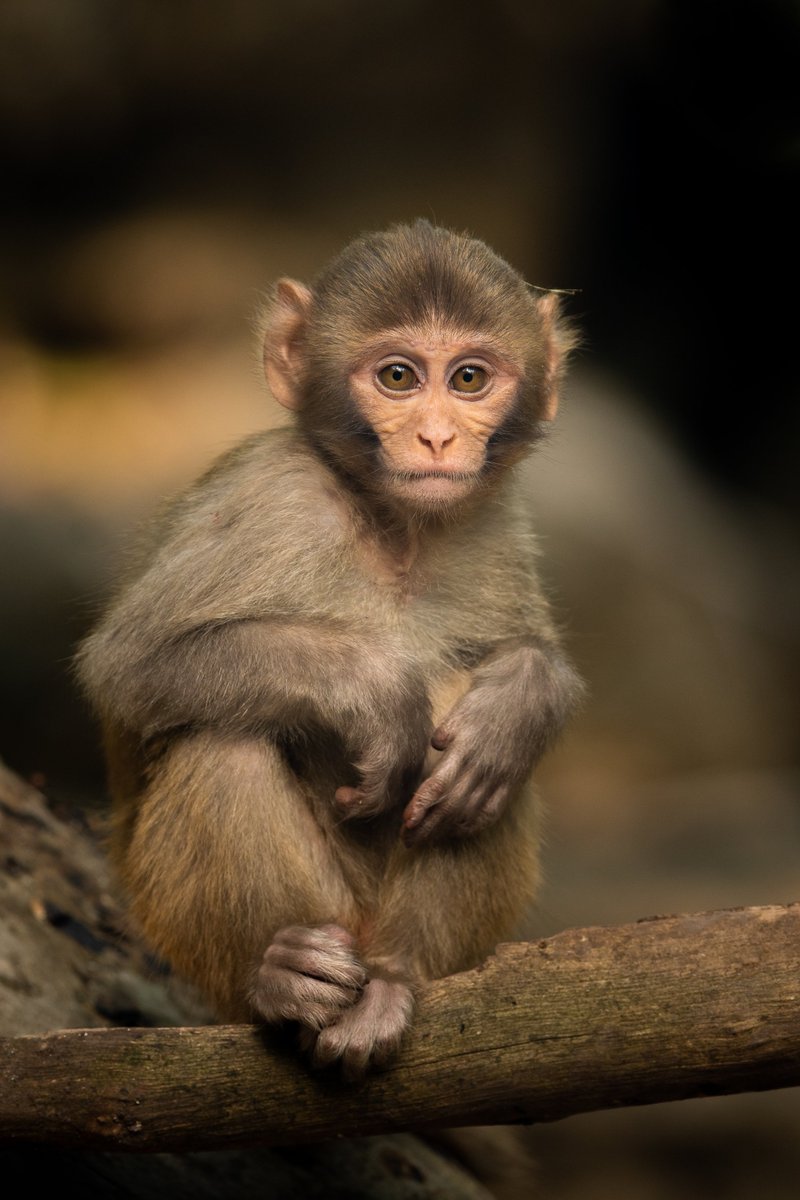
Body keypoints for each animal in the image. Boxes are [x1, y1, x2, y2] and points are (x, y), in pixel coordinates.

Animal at [76, 219, 584, 1084]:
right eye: (398, 376)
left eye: (470, 378)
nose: (437, 436)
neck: (393, 528)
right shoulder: (271, 500)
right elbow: (130, 665)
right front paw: (370, 688)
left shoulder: (498, 527)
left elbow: (518, 671)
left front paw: (519, 699)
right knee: (223, 740)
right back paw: (279, 976)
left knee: (479, 781)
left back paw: (395, 978)